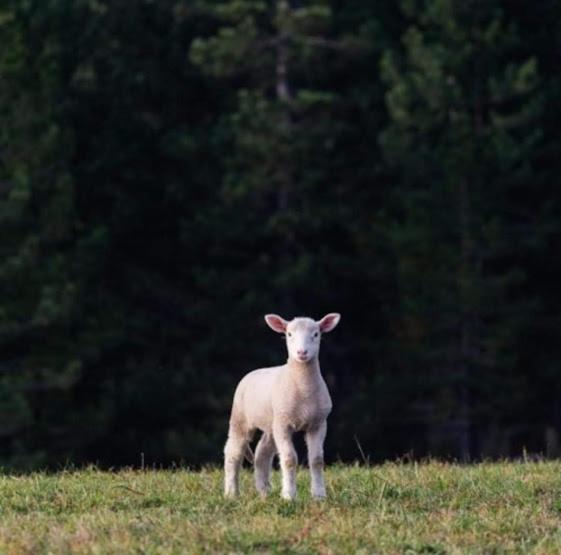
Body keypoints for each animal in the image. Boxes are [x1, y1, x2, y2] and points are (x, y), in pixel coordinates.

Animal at [222, 314, 336, 502]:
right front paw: (289, 496)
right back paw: (231, 493)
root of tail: (253, 372)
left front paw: (319, 495)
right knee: (233, 453)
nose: (302, 353)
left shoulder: (318, 423)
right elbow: (289, 459)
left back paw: (264, 491)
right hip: (240, 418)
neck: (303, 388)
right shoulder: (284, 423)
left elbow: (317, 460)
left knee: (261, 454)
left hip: (271, 424)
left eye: (316, 334)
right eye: (289, 334)